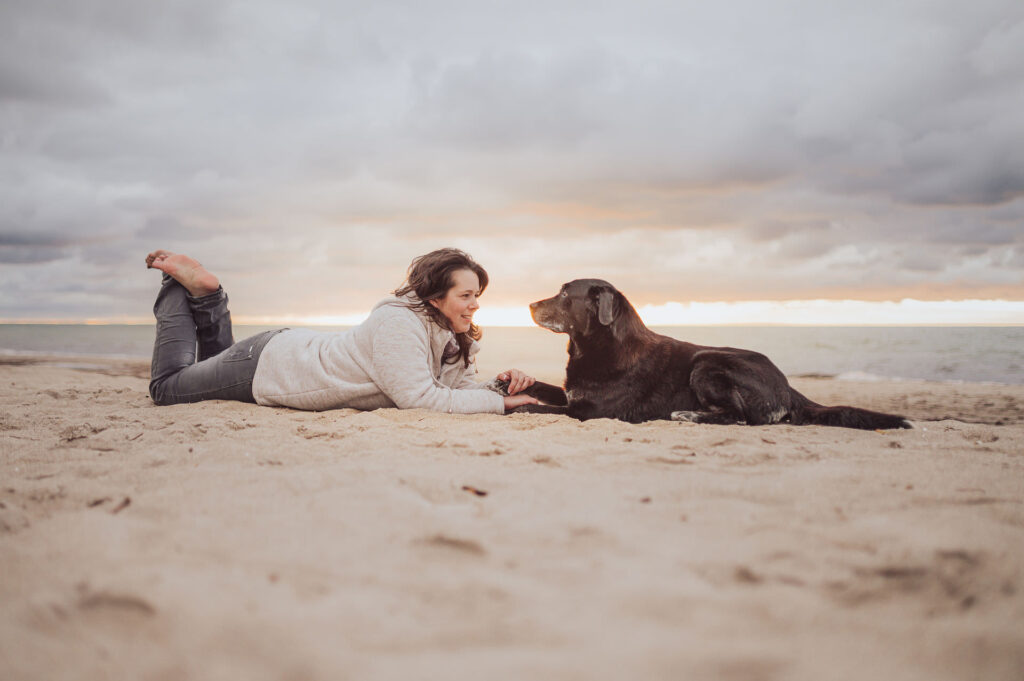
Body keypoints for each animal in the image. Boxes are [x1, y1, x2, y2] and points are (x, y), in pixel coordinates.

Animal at [495, 278, 913, 430]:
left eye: (566, 294)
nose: (528, 305)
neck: (601, 347)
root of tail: (788, 385)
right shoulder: (570, 394)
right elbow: (544, 386)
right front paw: (504, 382)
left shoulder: (588, 412)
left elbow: (533, 405)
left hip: (706, 365)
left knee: (743, 417)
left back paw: (688, 415)